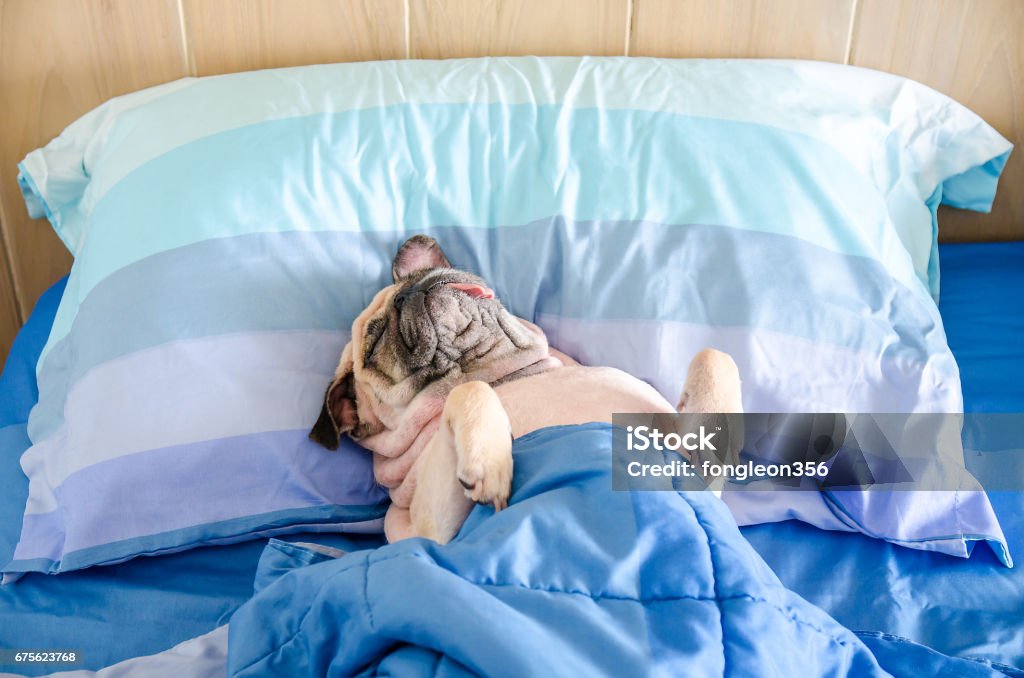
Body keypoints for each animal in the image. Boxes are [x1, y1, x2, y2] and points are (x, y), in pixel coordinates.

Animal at [307, 236, 741, 544]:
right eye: (375, 343)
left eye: (426, 272)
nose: (408, 292)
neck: (499, 375)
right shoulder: (430, 533)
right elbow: (469, 392)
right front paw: (491, 461)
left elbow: (715, 355)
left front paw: (713, 437)